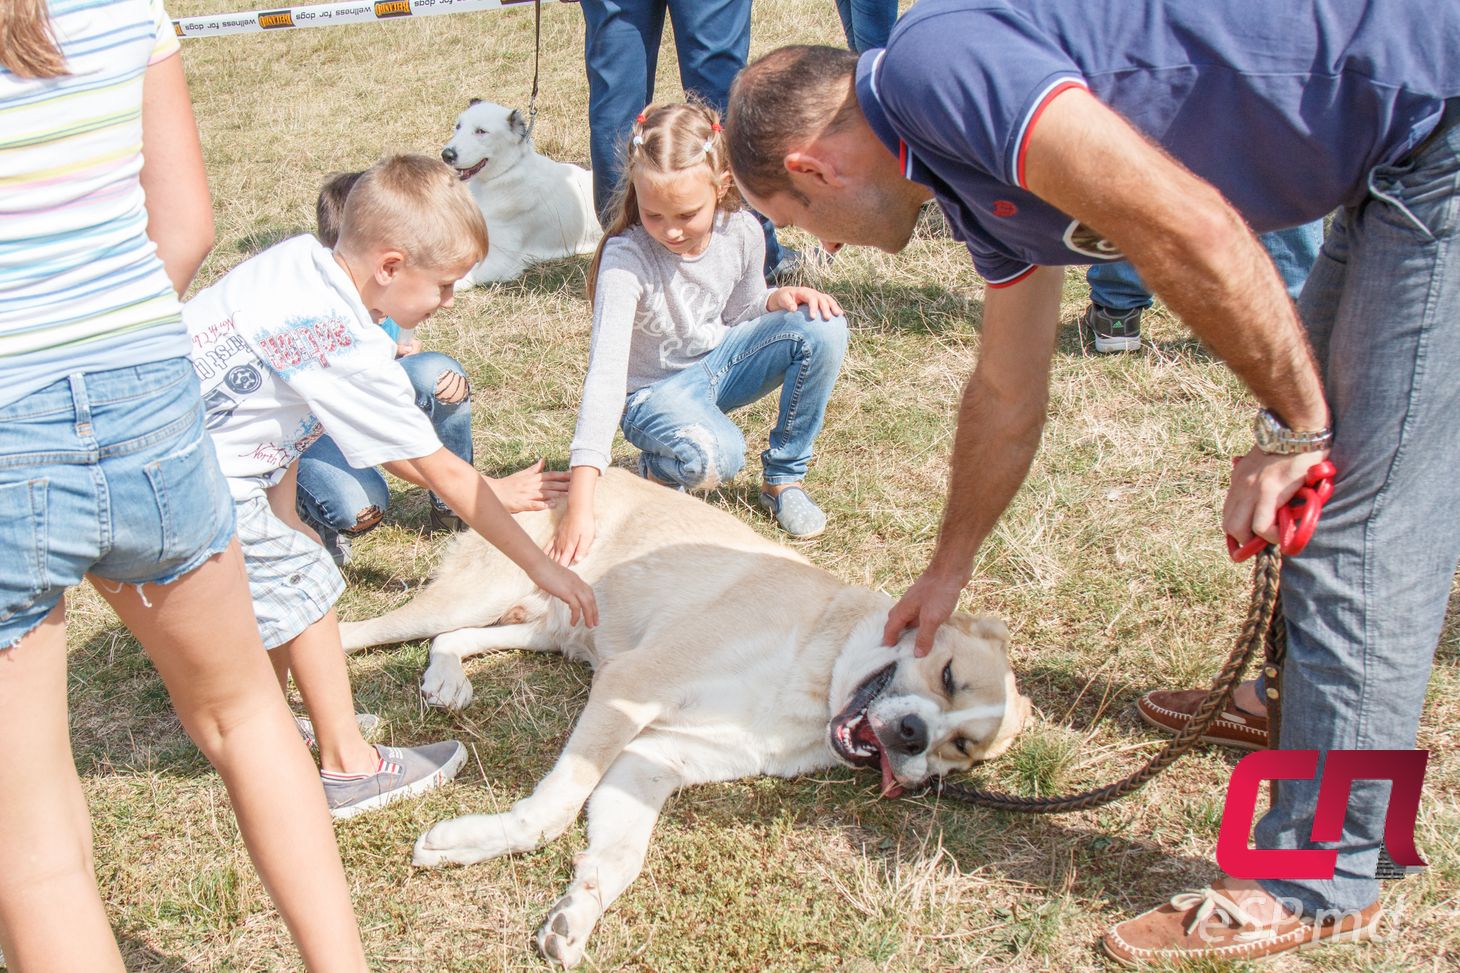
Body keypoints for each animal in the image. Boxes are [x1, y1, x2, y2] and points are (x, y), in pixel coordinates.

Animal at [337, 470, 1033, 964]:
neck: (817, 667)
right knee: (356, 631)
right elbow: (554, 809)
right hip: (480, 594)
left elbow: (620, 856)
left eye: (962, 750)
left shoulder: (650, 759)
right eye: (947, 675)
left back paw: (446, 677)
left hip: (549, 625)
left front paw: (576, 914)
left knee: (451, 639)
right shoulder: (630, 685)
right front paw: (477, 840)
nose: (914, 737)